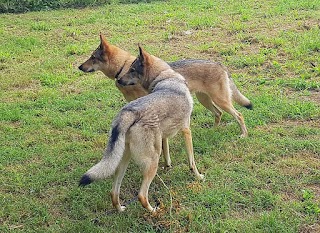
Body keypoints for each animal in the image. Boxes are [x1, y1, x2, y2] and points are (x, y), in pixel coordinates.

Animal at [78, 34, 252, 137]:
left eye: (92, 57)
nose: (79, 67)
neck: (122, 67)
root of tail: (220, 64)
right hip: (205, 100)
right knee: (218, 114)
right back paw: (213, 131)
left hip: (221, 100)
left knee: (239, 115)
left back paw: (243, 134)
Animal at [79, 46, 202, 212]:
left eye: (132, 70)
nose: (119, 80)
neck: (165, 78)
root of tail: (128, 113)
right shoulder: (186, 131)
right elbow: (192, 161)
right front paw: (198, 176)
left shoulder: (164, 137)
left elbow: (167, 153)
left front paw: (168, 166)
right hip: (152, 162)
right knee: (141, 195)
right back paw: (154, 211)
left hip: (122, 162)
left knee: (113, 192)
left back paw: (121, 209)